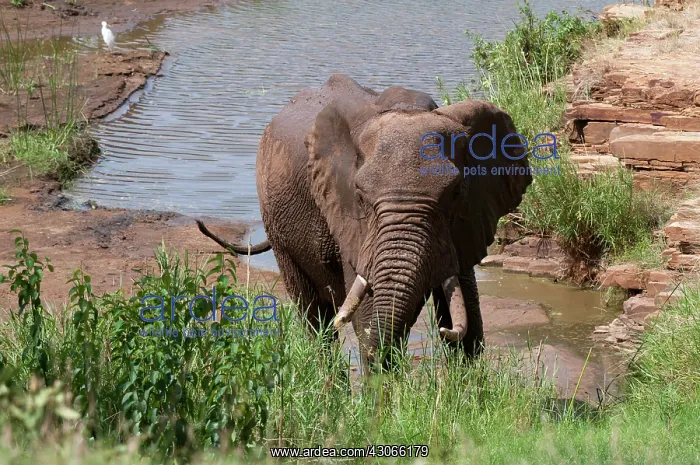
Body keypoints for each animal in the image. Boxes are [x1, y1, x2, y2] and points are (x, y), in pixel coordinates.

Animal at [197, 74, 531, 371]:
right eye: (359, 194)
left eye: (457, 192)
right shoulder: (349, 222)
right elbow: (369, 314)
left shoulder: (467, 221)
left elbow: (466, 313)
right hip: (276, 225)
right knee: (314, 318)